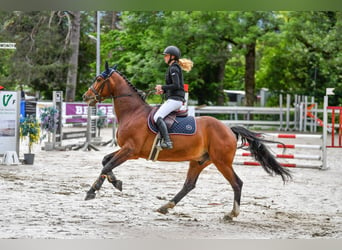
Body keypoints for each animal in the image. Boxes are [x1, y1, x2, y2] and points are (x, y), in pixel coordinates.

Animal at [82, 64, 292, 221]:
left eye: (99, 80)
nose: (86, 97)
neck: (133, 112)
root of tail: (228, 129)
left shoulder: (130, 150)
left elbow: (106, 164)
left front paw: (92, 191)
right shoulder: (127, 151)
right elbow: (105, 162)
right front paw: (115, 182)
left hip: (221, 162)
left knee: (236, 183)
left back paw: (232, 214)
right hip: (199, 161)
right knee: (189, 185)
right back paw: (166, 206)